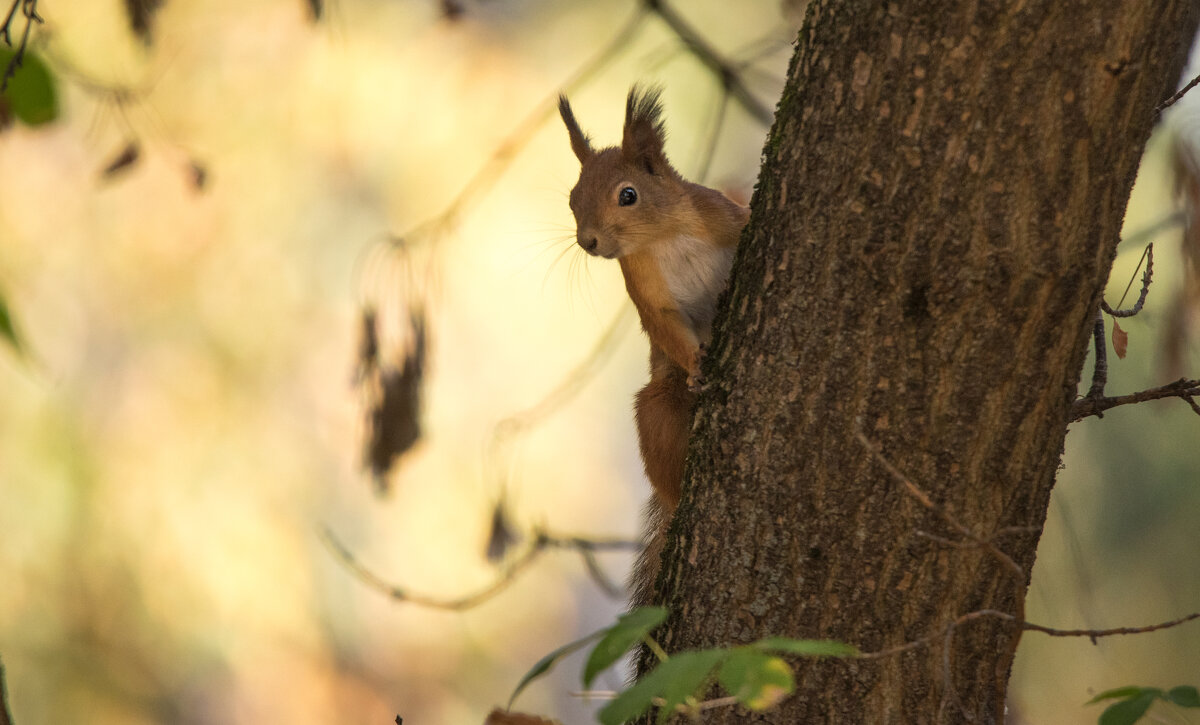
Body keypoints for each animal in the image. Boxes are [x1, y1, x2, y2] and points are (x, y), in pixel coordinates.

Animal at [556, 86, 744, 600]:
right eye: (572, 199)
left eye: (628, 195)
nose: (589, 241)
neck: (667, 235)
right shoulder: (645, 289)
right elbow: (665, 327)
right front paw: (697, 364)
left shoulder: (725, 216)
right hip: (658, 405)